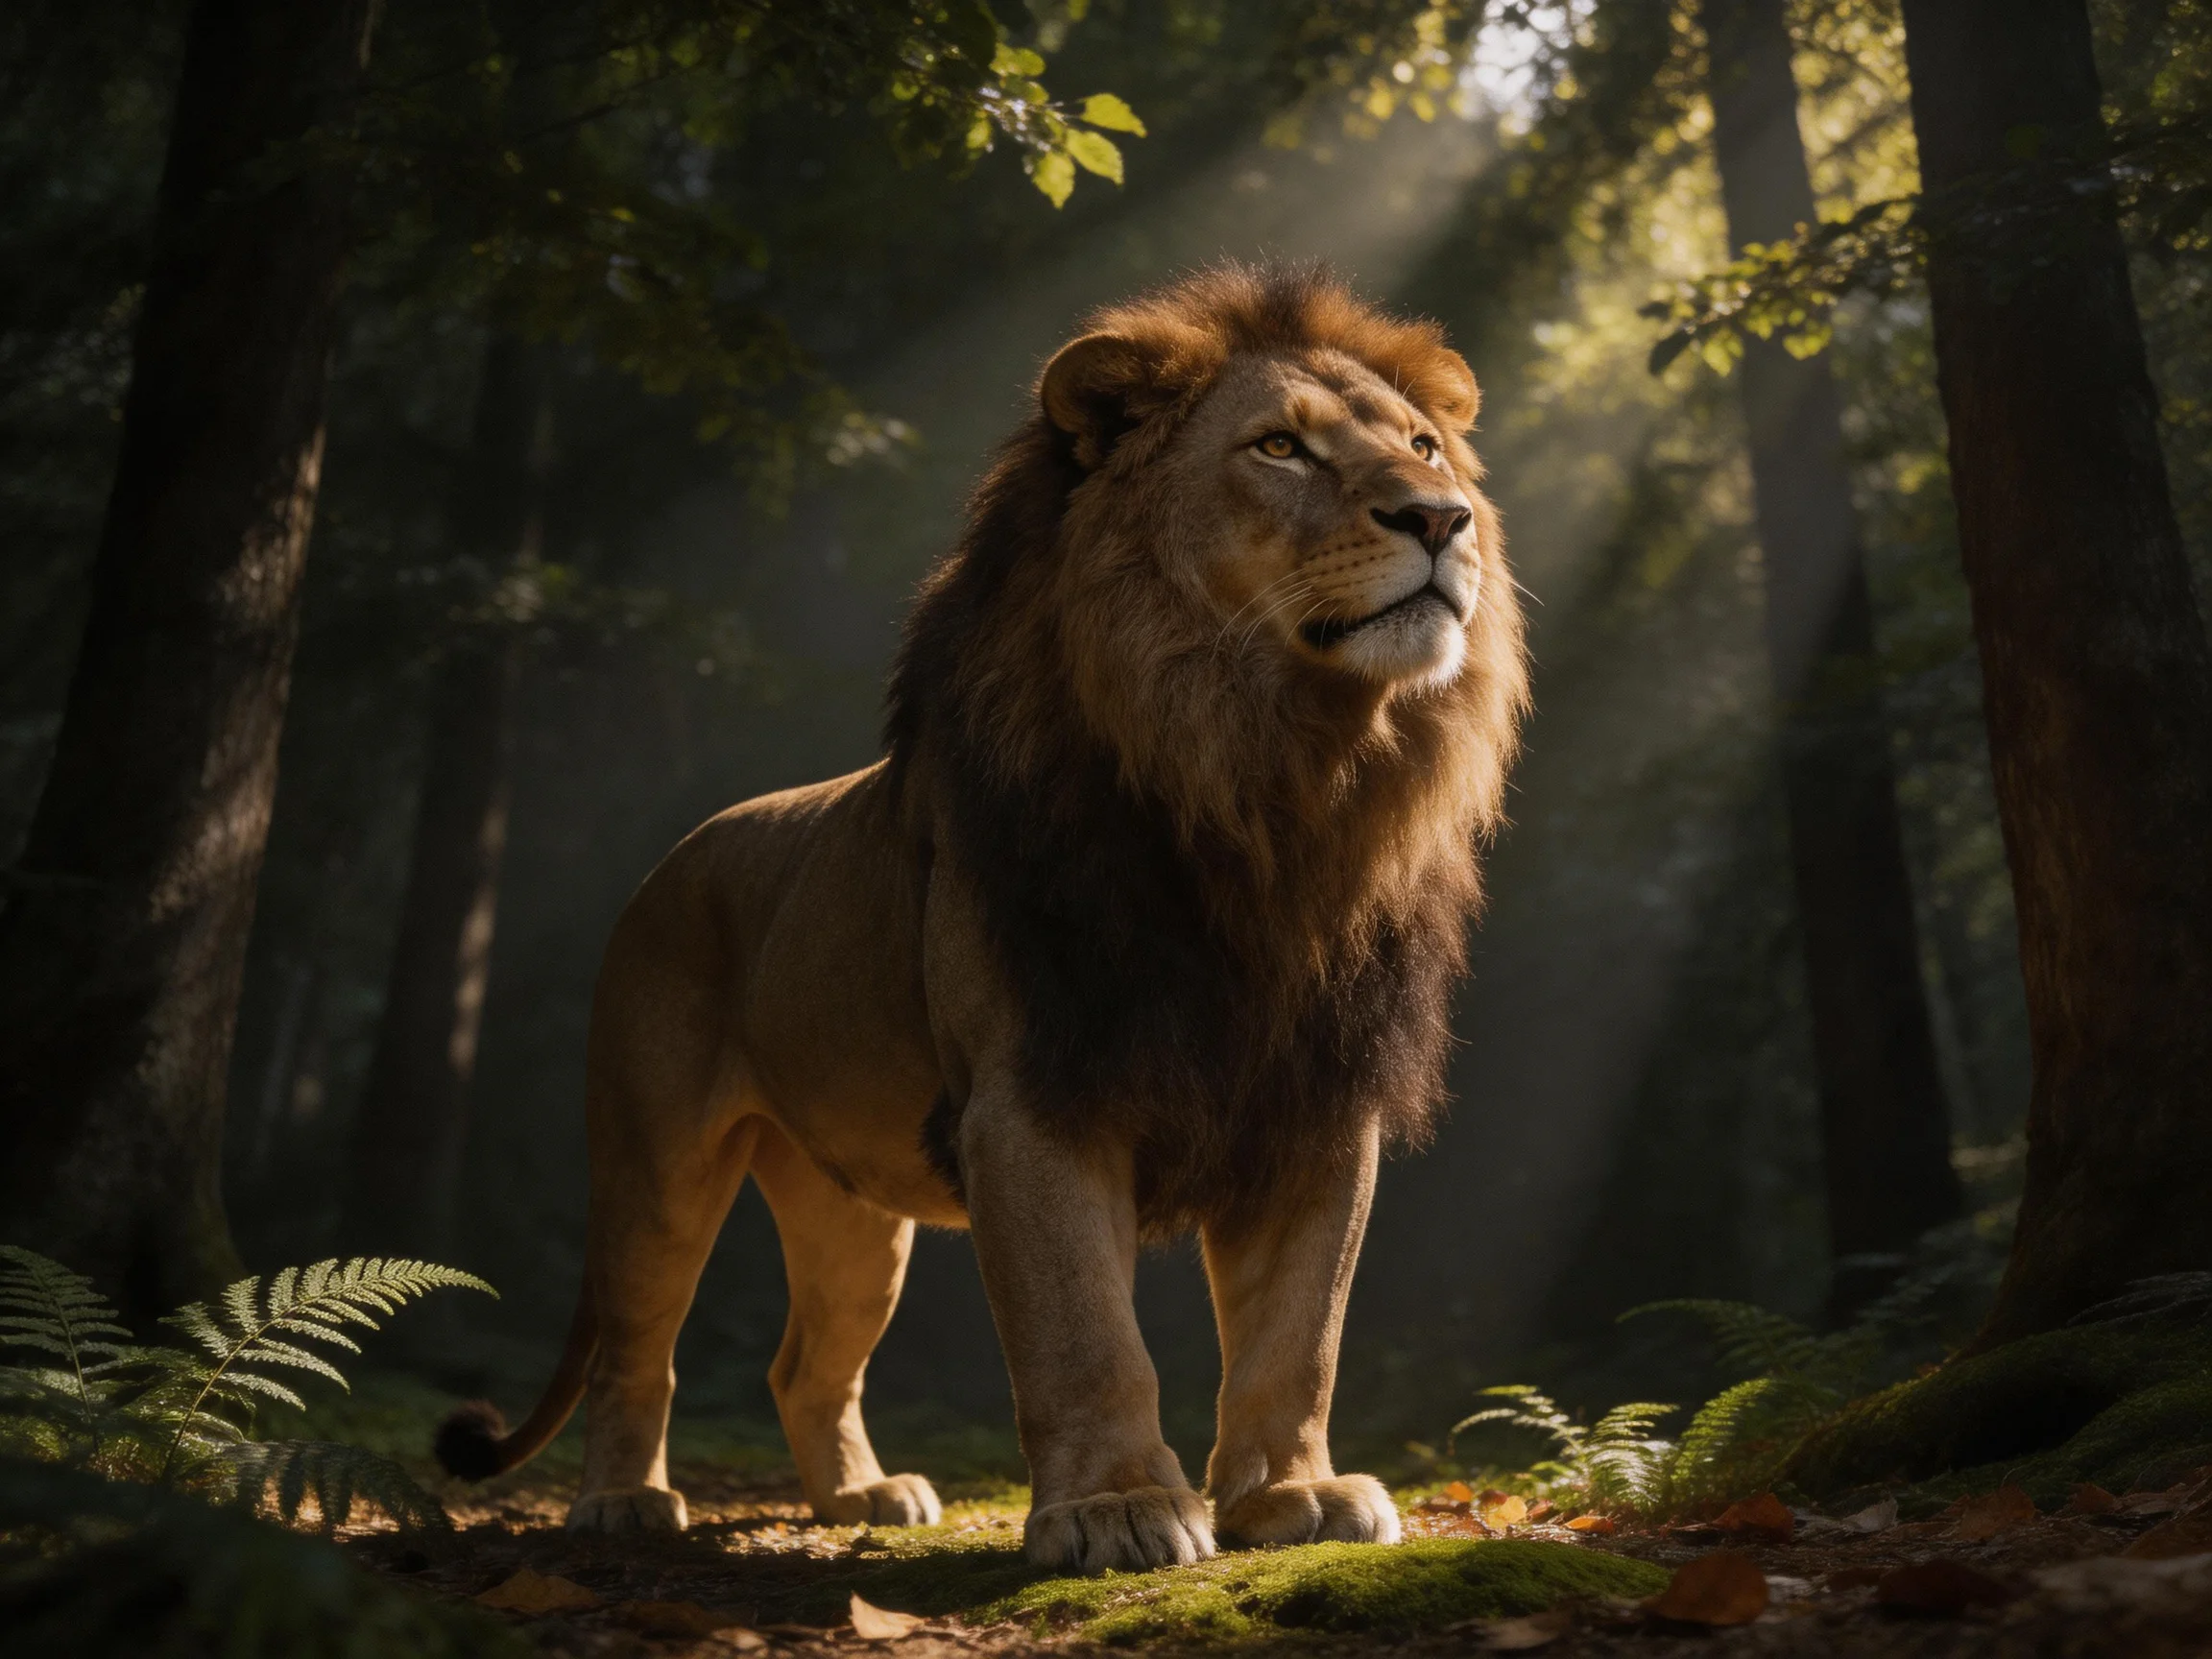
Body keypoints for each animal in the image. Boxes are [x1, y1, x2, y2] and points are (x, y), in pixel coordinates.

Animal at [434, 263, 1528, 1573]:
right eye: (1279, 448)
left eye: (1425, 447)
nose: (1442, 519)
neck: (1273, 780)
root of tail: (673, 859)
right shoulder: (1032, 1095)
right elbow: (1086, 1333)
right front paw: (1115, 1507)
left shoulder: (1314, 1100)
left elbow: (1298, 1333)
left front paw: (1290, 1496)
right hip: (656, 1162)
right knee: (636, 1349)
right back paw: (622, 1503)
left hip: (854, 1214)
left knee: (804, 1362)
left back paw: (861, 1497)